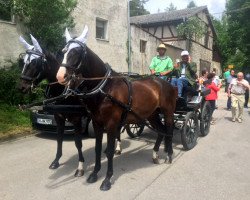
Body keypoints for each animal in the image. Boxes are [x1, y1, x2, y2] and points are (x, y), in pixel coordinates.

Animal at [56, 27, 176, 191]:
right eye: (64, 51)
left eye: (76, 52)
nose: (60, 76)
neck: (106, 88)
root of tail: (165, 83)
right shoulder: (97, 123)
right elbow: (98, 148)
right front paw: (94, 174)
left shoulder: (112, 124)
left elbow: (110, 151)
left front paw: (107, 179)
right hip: (152, 115)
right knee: (161, 131)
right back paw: (155, 155)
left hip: (168, 112)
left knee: (169, 130)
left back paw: (169, 155)